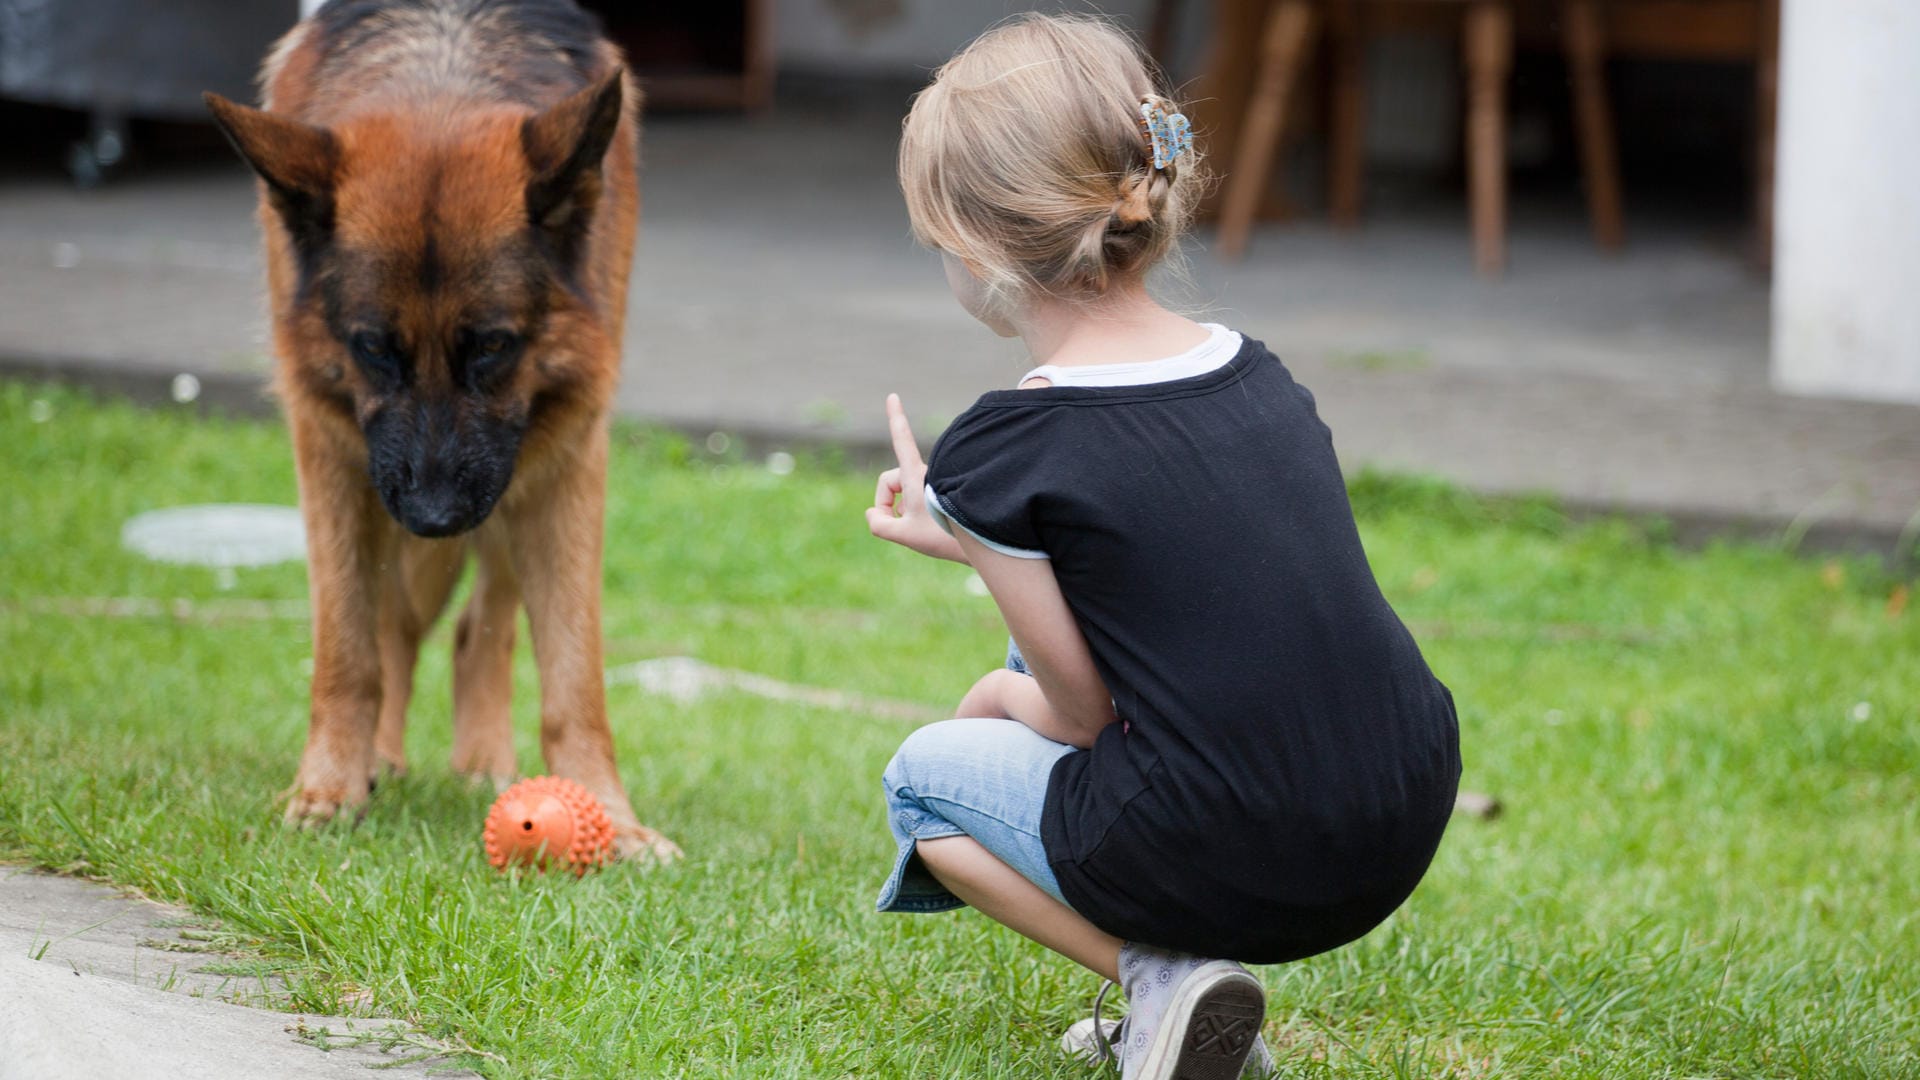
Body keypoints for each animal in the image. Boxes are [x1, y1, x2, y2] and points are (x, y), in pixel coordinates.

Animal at [204, 0, 675, 857]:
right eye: (373, 348)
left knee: (478, 628)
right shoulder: (330, 451)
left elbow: (574, 676)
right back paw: (379, 760)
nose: (432, 518)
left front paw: (611, 817)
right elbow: (348, 650)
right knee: (392, 624)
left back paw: (484, 762)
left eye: (491, 346)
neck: (442, 77)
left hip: (516, 476)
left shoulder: (565, 459)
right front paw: (329, 786)